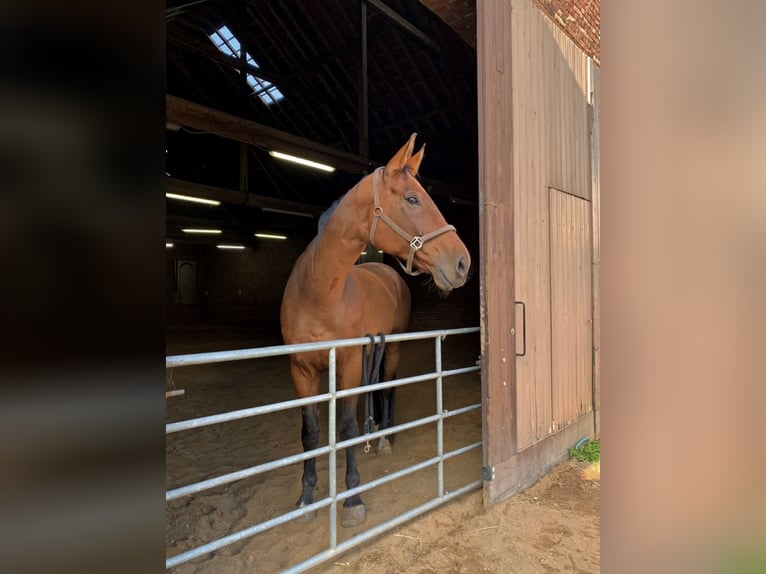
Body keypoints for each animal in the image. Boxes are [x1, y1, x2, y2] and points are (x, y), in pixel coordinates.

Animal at [280, 133, 472, 528]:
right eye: (412, 199)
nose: (463, 262)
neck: (318, 293)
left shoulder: (350, 362)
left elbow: (346, 428)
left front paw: (352, 499)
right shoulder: (301, 370)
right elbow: (311, 432)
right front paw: (306, 498)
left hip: (391, 348)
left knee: (387, 385)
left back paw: (384, 436)